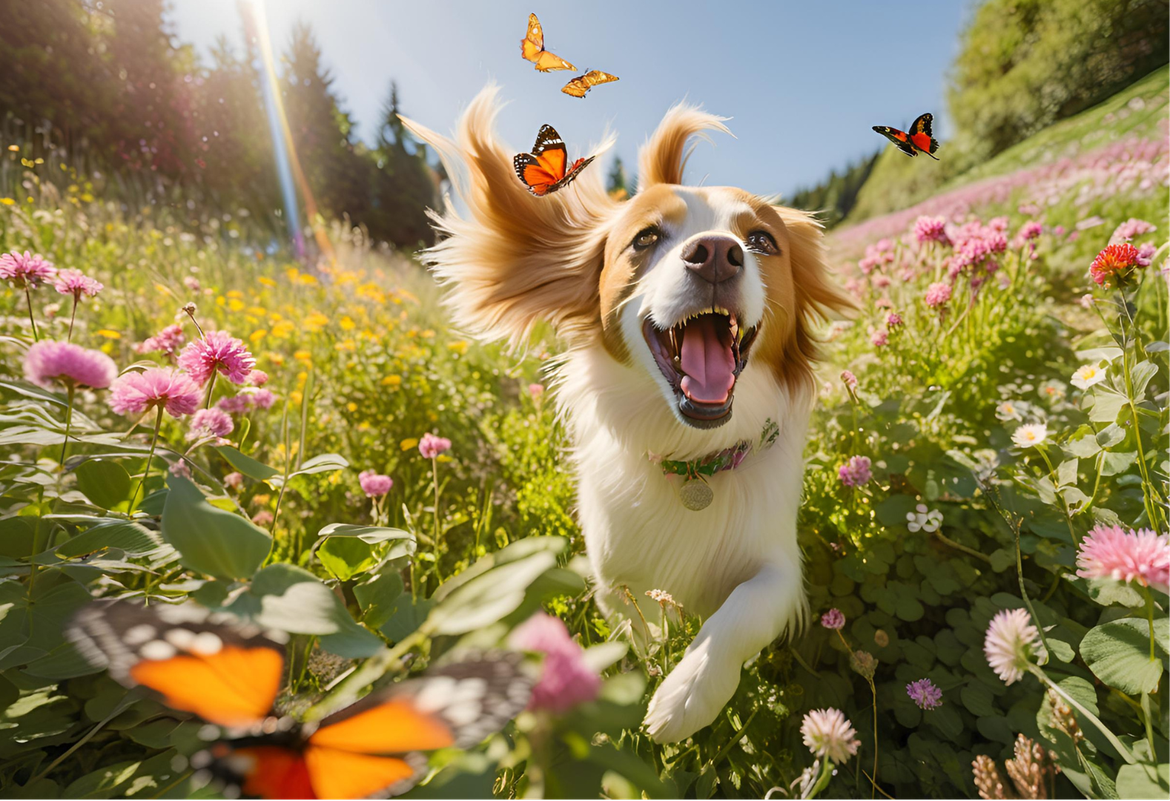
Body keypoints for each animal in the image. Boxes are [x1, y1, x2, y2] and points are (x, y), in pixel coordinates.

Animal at [409, 85, 851, 739]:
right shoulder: (610, 568)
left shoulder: (779, 561)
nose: (716, 253)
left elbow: (746, 607)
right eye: (645, 239)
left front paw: (687, 692)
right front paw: (655, 665)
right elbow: (636, 621)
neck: (693, 458)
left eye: (762, 241)